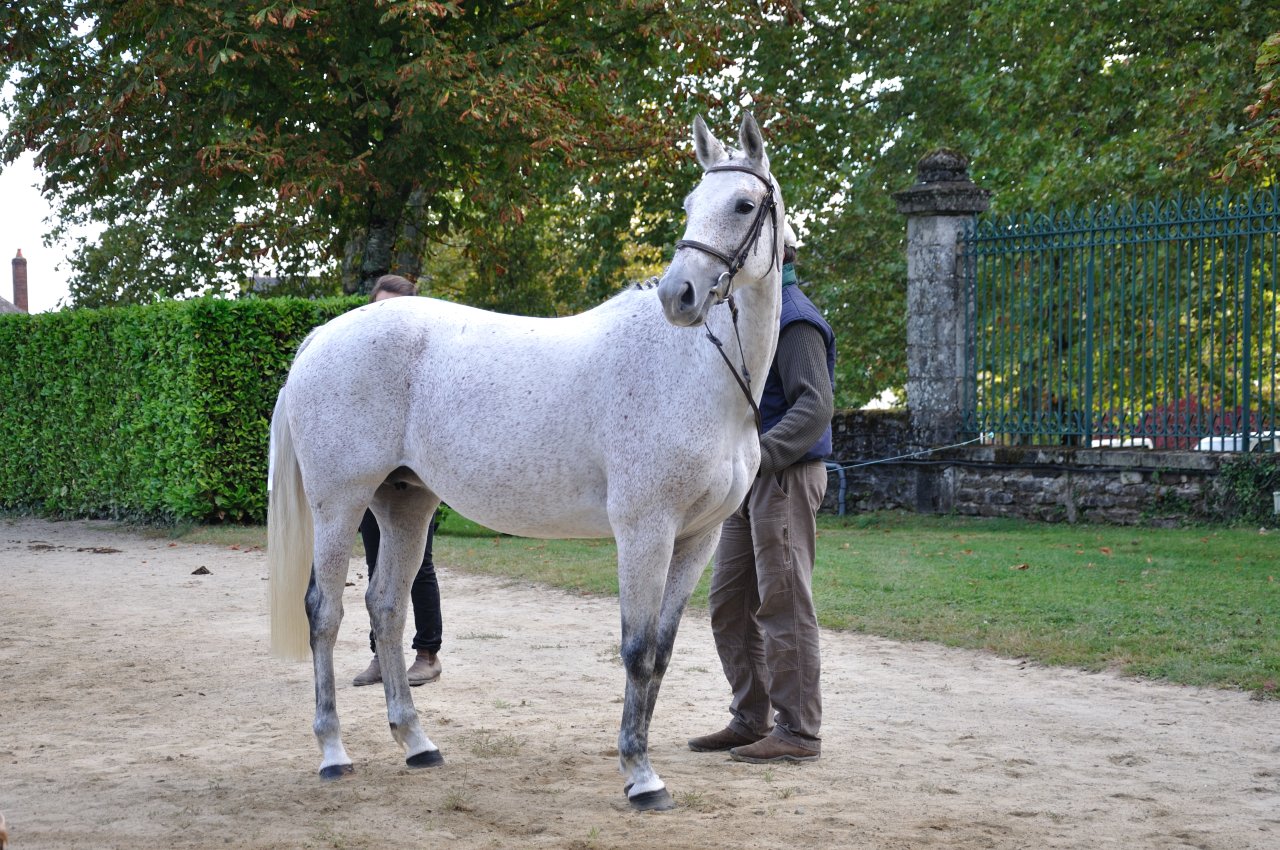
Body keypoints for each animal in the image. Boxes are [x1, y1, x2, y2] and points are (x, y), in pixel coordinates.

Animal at [266, 112, 783, 809]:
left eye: (744, 204)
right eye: (689, 203)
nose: (681, 295)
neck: (696, 372)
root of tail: (324, 334)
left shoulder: (697, 537)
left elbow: (664, 651)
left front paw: (642, 765)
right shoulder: (645, 530)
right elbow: (637, 649)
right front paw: (640, 775)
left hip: (405, 503)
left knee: (387, 607)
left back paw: (417, 743)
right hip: (340, 502)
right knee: (326, 612)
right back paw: (333, 753)